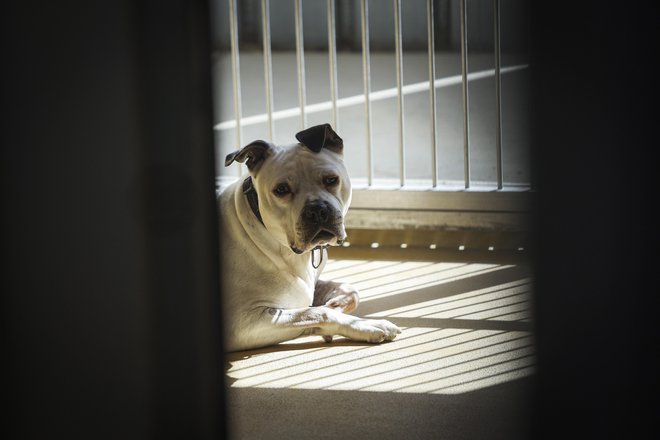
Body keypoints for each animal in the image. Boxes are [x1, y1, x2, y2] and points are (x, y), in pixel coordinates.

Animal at [219, 123, 400, 350]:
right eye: (281, 190)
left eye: (331, 180)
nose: (316, 210)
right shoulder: (245, 324)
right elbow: (319, 313)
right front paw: (366, 325)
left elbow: (349, 291)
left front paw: (336, 303)